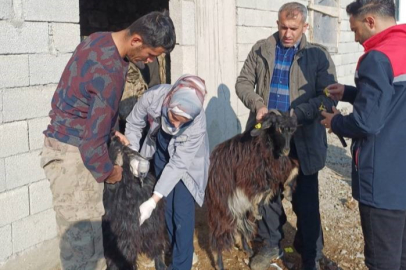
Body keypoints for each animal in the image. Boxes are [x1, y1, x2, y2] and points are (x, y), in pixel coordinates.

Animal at [206, 109, 298, 270]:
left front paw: (287, 190)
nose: (287, 150)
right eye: (278, 128)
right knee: (218, 236)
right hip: (222, 209)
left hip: (240, 209)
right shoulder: (247, 176)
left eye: (292, 130)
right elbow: (265, 189)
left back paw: (247, 249)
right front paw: (258, 208)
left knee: (242, 227)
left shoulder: (274, 169)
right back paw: (220, 264)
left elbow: (293, 167)